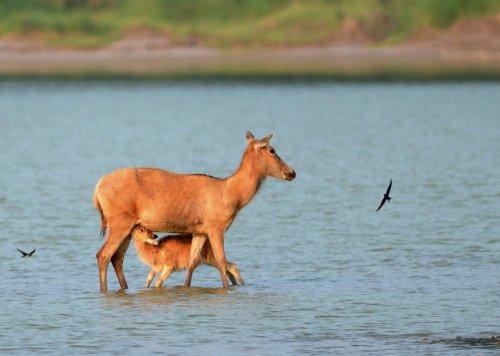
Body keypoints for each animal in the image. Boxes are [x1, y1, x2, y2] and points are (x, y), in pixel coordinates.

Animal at [93, 132, 292, 290]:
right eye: (272, 150)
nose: (291, 173)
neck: (233, 196)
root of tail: (96, 190)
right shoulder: (216, 226)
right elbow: (221, 260)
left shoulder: (199, 230)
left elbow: (192, 262)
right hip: (120, 221)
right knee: (103, 255)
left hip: (128, 226)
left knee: (117, 258)